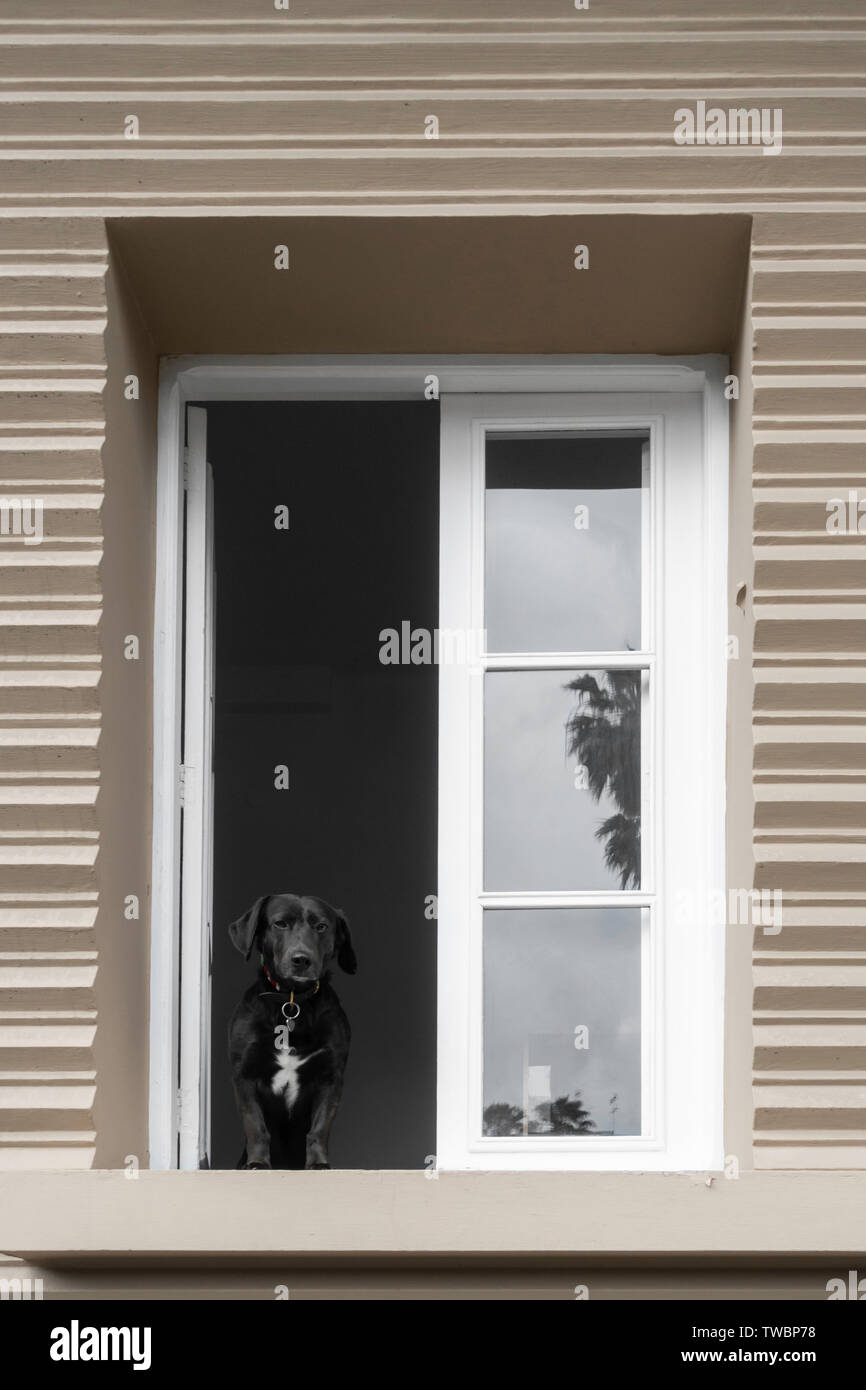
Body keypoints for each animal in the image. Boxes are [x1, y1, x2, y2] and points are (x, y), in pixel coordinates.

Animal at [229, 895, 358, 1167]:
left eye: (321, 927)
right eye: (280, 923)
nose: (301, 960)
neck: (291, 1001)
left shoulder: (330, 1078)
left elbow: (318, 1129)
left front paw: (318, 1164)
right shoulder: (244, 1075)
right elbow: (255, 1126)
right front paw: (258, 1163)